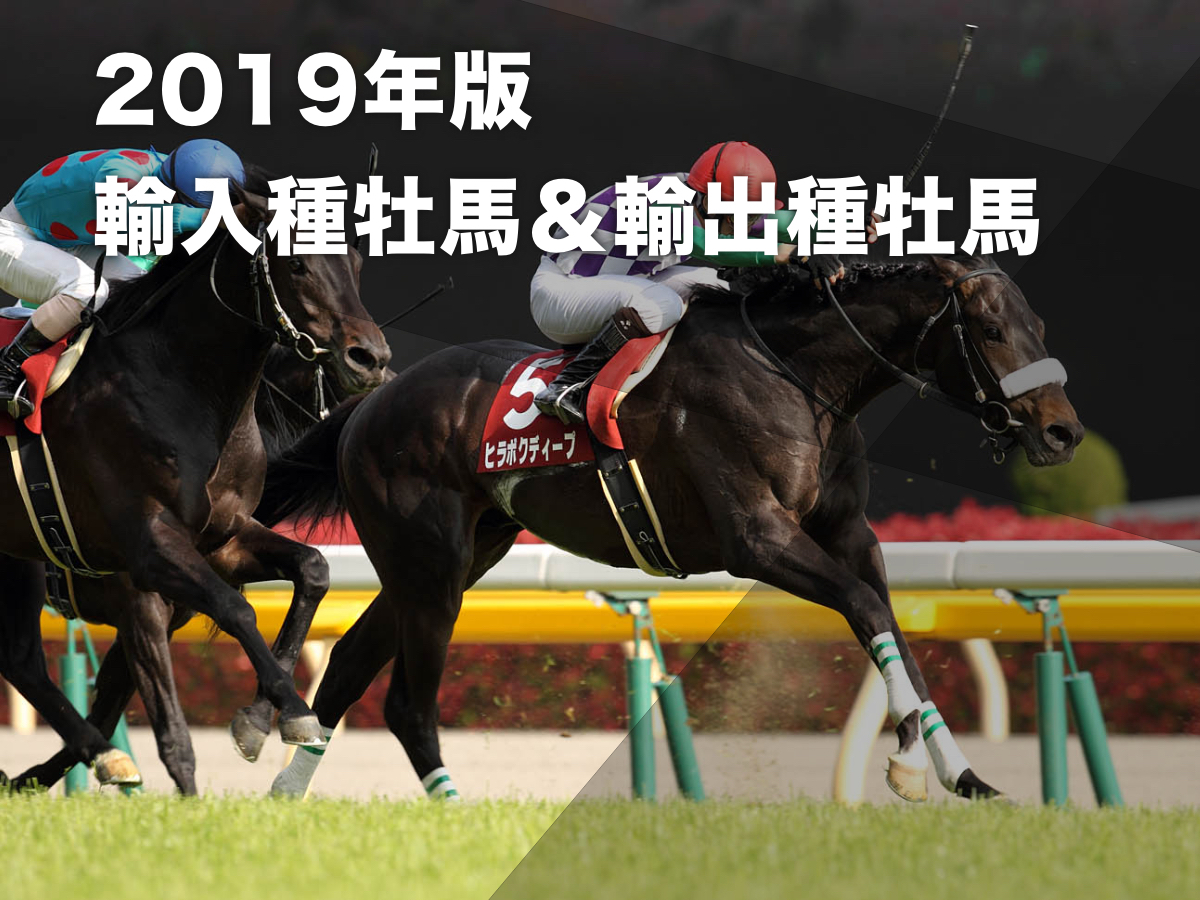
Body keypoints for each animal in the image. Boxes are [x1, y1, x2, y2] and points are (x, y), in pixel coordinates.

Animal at [0, 164, 389, 787]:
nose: (370, 359)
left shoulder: (222, 540)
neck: (180, 387)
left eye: (354, 261)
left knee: (20, 658)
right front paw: (285, 714)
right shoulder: (148, 559)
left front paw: (261, 718)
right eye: (297, 262)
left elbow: (313, 570)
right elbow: (227, 621)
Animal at [255, 254, 1083, 802]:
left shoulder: (849, 534)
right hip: (429, 558)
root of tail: (367, 403)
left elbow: (891, 628)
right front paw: (909, 764)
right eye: (990, 328)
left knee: (351, 661)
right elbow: (866, 608)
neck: (797, 375)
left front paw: (960, 774)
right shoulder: (756, 539)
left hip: (455, 555)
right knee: (404, 700)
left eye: (1040, 323)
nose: (1063, 432)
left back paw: (286, 800)